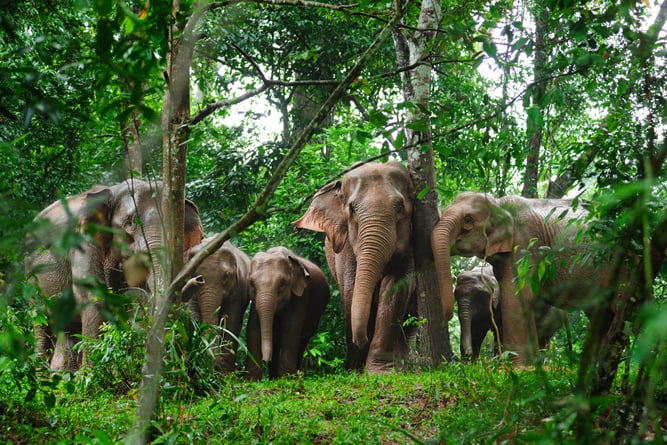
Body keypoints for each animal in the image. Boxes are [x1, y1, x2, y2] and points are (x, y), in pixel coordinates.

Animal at [181, 237, 251, 374]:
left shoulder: (239, 289)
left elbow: (231, 321)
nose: (198, 280)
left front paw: (225, 373)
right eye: (194, 274)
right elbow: (193, 312)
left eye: (226, 276)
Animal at [245, 246, 330, 380]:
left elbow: (291, 328)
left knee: (302, 341)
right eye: (252, 284)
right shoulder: (254, 300)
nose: (265, 360)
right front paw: (251, 380)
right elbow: (253, 328)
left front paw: (287, 378)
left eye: (282, 284)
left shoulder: (301, 296)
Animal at [293, 161, 418, 374]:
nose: (363, 339)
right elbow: (350, 289)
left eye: (400, 207)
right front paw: (354, 369)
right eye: (352, 209)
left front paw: (380, 371)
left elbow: (395, 287)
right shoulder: (344, 247)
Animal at [431, 191, 606, 365]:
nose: (447, 316)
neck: (499, 204)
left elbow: (516, 295)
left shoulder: (526, 242)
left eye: (468, 220)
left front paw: (517, 366)